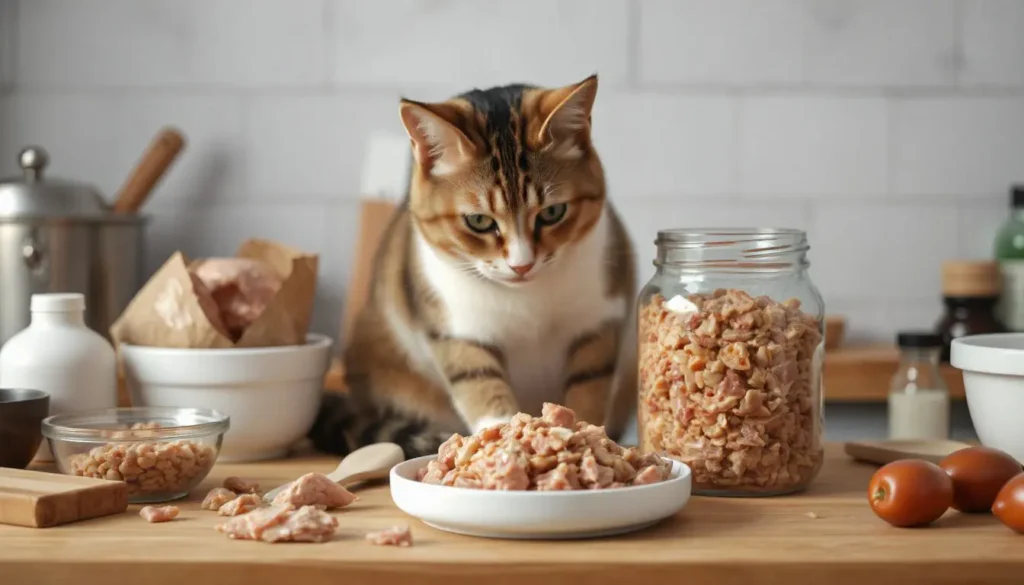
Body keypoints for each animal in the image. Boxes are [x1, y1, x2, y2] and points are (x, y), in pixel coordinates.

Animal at [307, 74, 634, 456]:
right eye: (478, 220)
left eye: (553, 212)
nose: (522, 265)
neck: (527, 300)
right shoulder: (457, 327)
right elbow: (479, 381)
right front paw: (502, 440)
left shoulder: (598, 323)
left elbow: (590, 382)